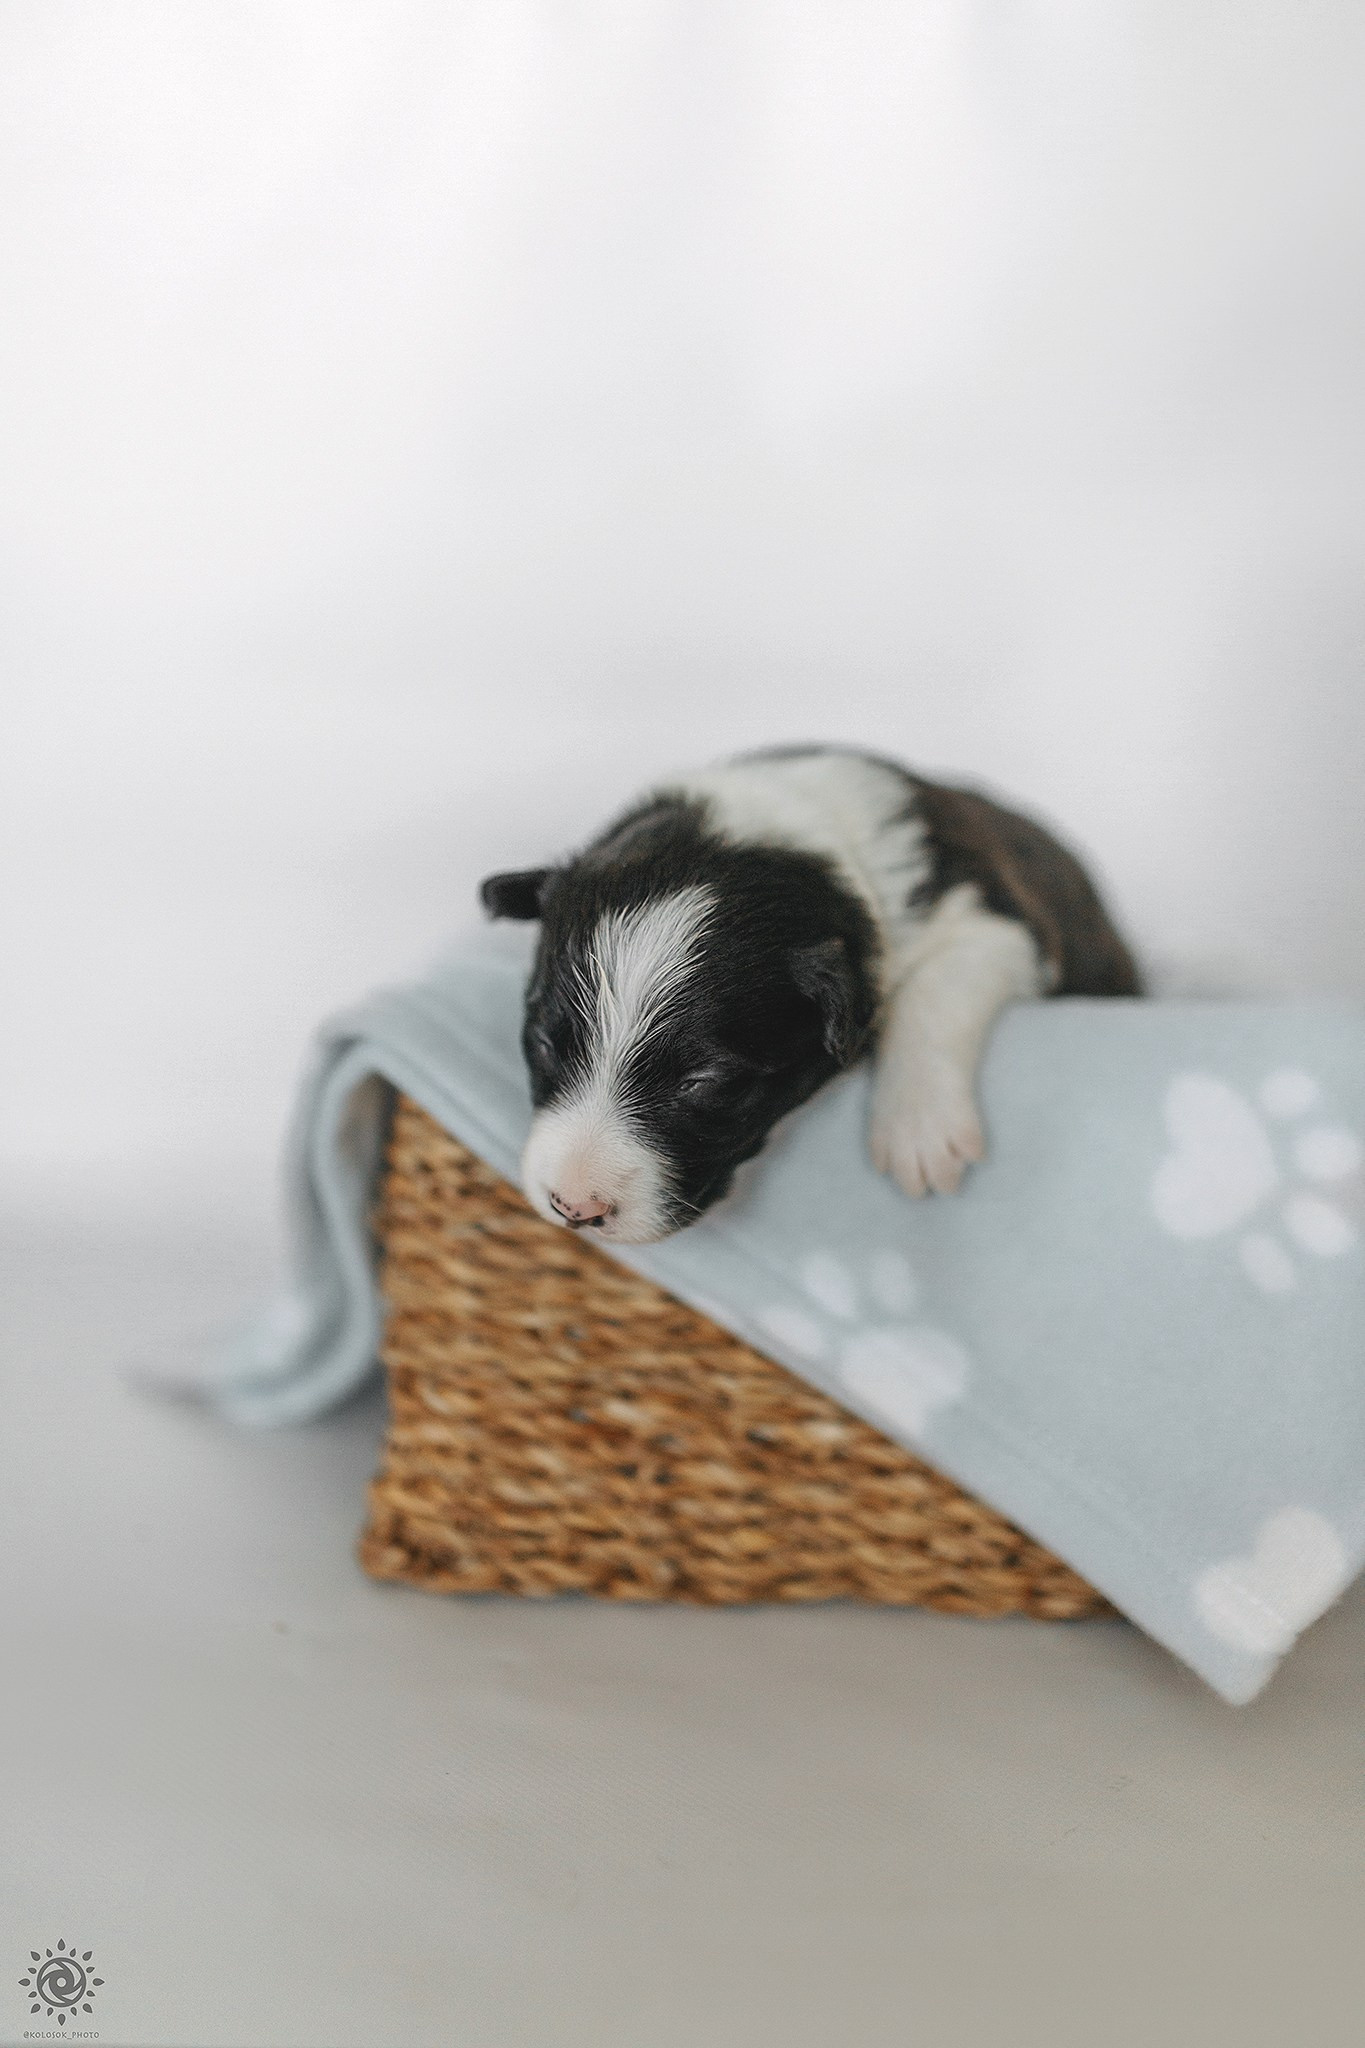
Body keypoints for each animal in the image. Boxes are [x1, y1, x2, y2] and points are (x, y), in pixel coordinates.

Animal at [480, 747, 1141, 1243]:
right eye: (542, 1042)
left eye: (706, 1083)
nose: (573, 1207)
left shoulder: (999, 922)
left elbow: (934, 993)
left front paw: (919, 1130)